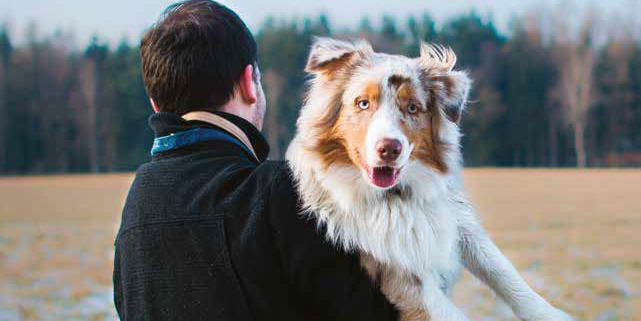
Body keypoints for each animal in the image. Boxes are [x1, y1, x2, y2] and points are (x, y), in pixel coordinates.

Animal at [286, 38, 576, 320]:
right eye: (363, 103)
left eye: (413, 107)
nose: (389, 148)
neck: (399, 196)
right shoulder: (401, 275)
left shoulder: (456, 220)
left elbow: (501, 269)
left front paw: (552, 314)